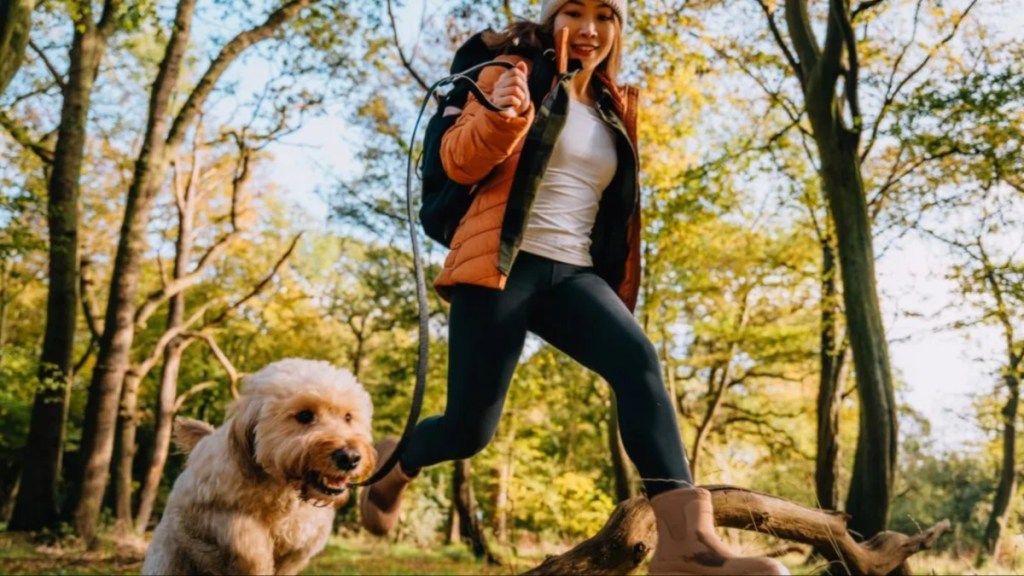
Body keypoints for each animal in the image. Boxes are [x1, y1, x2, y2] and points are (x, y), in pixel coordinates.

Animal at [143, 356, 376, 569]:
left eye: (348, 417)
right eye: (305, 415)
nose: (350, 457)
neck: (283, 488)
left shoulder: (304, 542)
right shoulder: (210, 513)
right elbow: (248, 541)